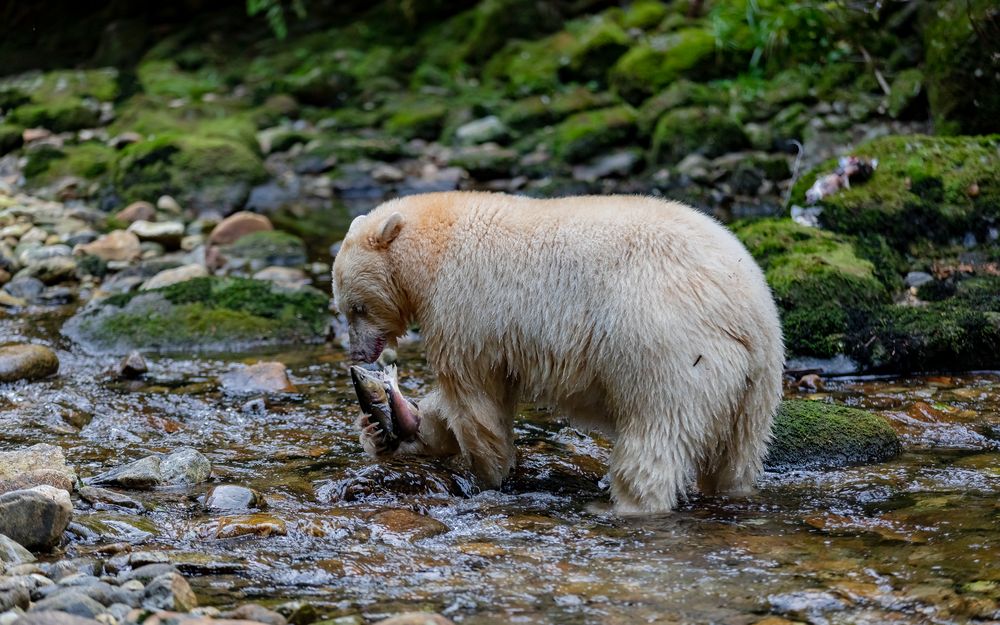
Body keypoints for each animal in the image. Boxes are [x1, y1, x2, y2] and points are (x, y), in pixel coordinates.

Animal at [332, 190, 784, 512]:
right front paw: (378, 429)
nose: (358, 355)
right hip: (755, 383)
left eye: (357, 307)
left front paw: (485, 479)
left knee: (656, 434)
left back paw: (621, 506)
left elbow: (474, 399)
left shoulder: (465, 308)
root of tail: (746, 313)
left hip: (669, 347)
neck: (435, 247)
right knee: (737, 455)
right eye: (344, 307)